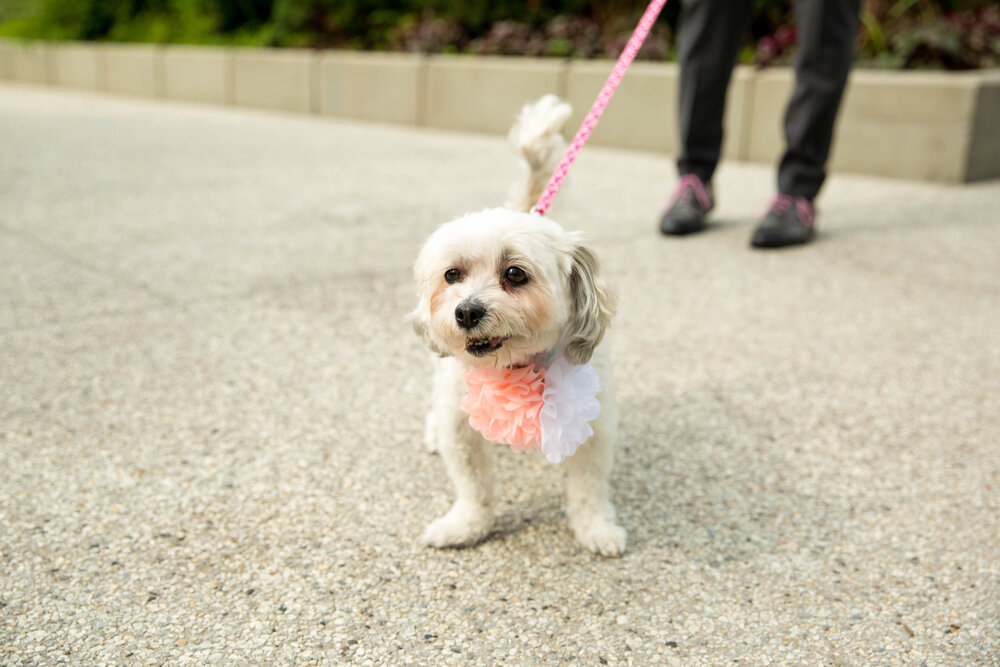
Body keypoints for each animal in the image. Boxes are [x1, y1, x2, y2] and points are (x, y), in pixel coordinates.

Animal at [408, 96, 624, 556]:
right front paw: (466, 525)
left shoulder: (596, 425)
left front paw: (596, 528)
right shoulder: (460, 425)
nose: (466, 312)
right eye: (452, 275)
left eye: (515, 274)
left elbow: (588, 487)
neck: (513, 368)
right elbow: (473, 486)